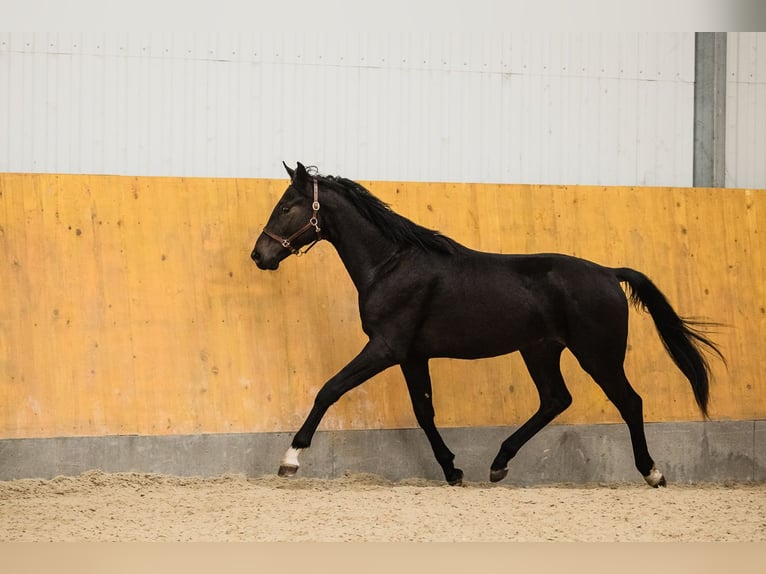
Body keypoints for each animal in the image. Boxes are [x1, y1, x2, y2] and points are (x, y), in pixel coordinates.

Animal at [254, 163, 728, 490]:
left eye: (286, 207)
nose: (259, 255)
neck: (391, 264)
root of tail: (610, 273)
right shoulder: (412, 355)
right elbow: (424, 412)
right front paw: (453, 470)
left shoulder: (385, 348)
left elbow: (329, 389)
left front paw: (290, 459)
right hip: (540, 350)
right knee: (555, 399)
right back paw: (499, 463)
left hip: (598, 355)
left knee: (629, 402)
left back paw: (652, 473)